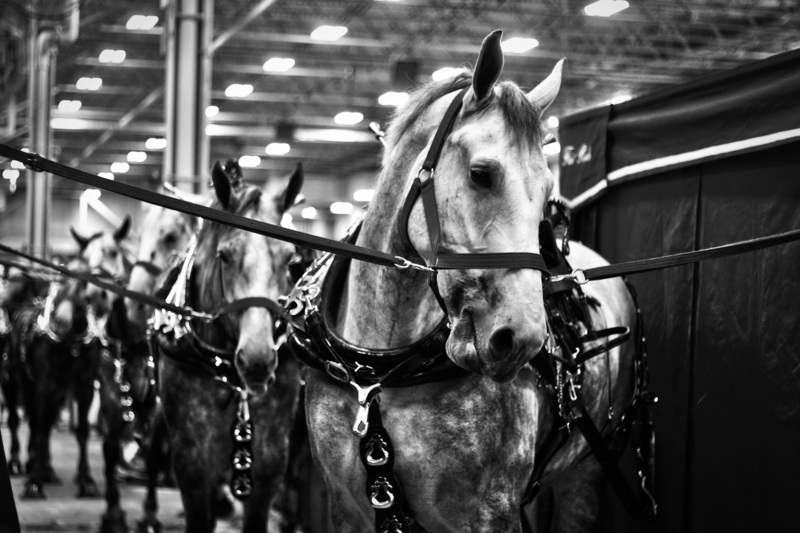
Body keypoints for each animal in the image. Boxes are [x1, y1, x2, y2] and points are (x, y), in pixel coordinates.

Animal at [97, 191, 198, 532]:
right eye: (140, 237)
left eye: (171, 236)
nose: (134, 306)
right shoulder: (110, 391)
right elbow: (110, 446)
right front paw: (113, 513)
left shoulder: (158, 401)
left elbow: (154, 452)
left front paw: (150, 514)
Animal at [296, 30, 648, 532]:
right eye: (481, 174)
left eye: (547, 190)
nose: (520, 339)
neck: (377, 373)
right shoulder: (347, 508)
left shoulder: (489, 513)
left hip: (585, 475)